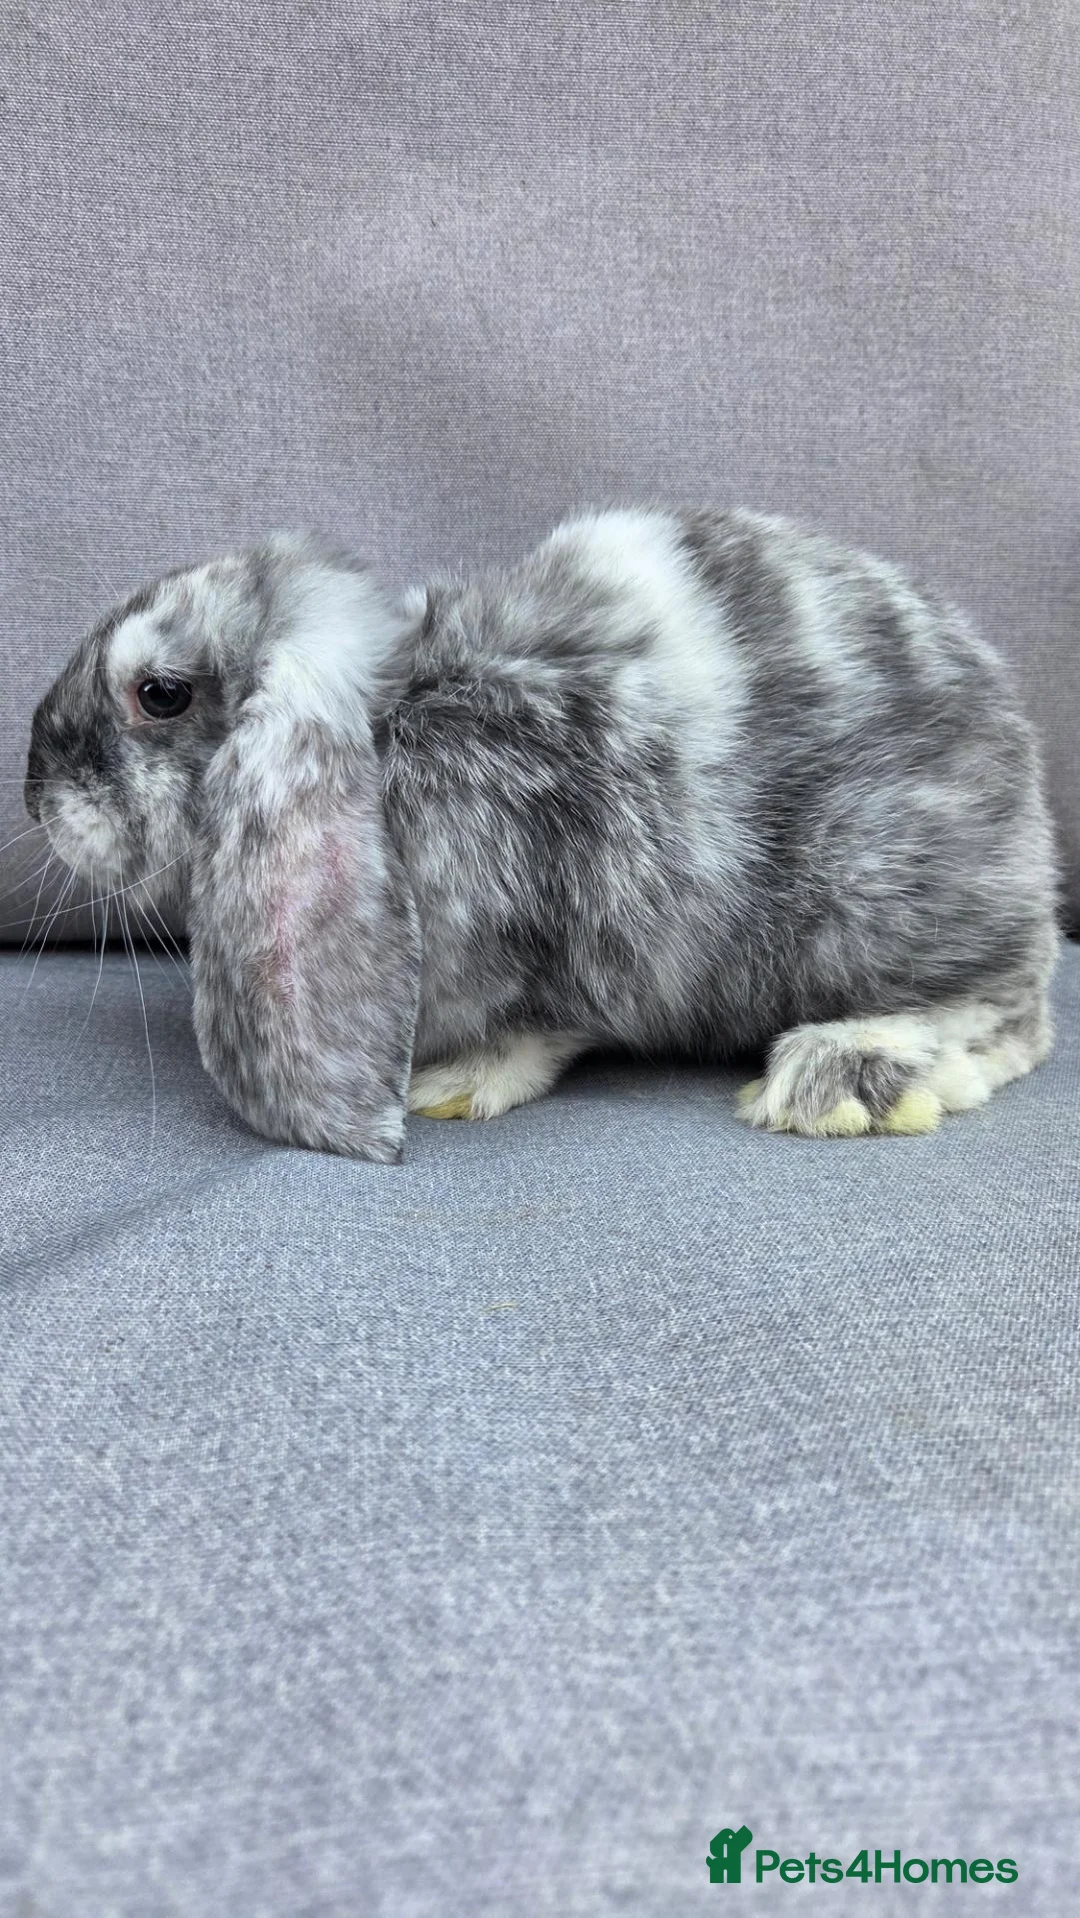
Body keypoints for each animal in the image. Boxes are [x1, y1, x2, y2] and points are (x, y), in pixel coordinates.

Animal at [24, 507, 1058, 1161]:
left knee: (1014, 1010)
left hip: (870, 899)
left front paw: (447, 1086)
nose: (36, 797)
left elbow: (539, 1027)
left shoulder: (561, 936)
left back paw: (848, 1080)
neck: (398, 724)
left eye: (160, 694)